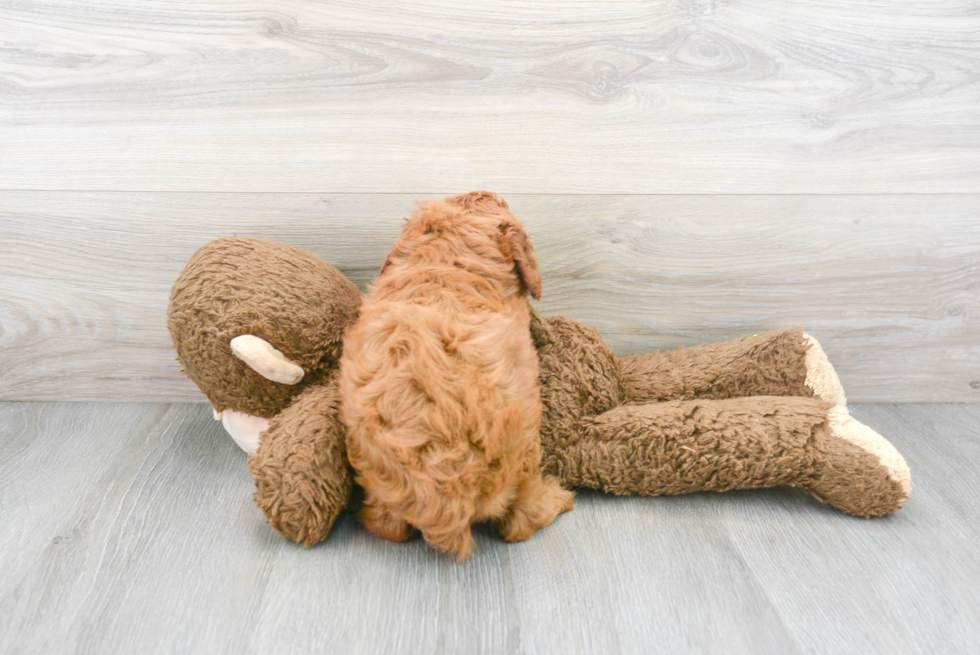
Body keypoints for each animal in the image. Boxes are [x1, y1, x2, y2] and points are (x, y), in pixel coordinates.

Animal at [340, 192, 576, 560]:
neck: (446, 265)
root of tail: (444, 497)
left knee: (389, 527)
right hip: (523, 450)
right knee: (519, 523)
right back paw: (558, 498)